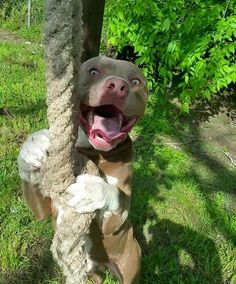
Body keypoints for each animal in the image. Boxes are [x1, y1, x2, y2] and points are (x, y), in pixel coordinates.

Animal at [18, 56, 148, 284]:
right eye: (94, 71)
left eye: (135, 81)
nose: (118, 86)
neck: (93, 150)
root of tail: (104, 264)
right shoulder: (42, 210)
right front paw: (31, 149)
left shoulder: (114, 223)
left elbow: (118, 198)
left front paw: (93, 191)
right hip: (92, 270)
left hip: (131, 260)